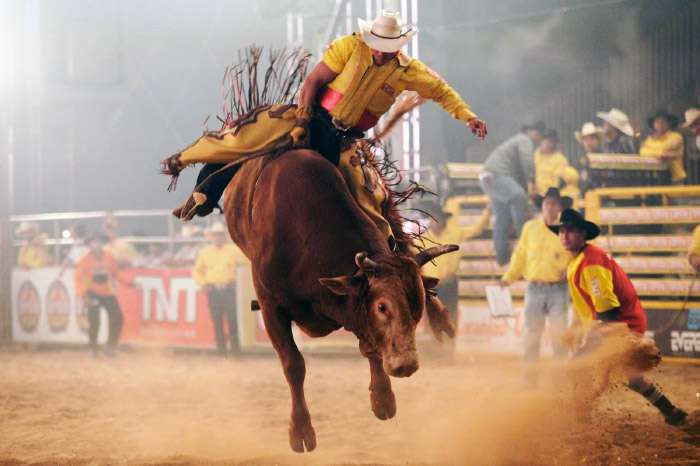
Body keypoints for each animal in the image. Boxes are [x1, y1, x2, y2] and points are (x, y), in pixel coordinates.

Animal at [221, 148, 456, 452]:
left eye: (416, 307)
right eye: (382, 307)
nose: (406, 364)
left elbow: (369, 347)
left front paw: (382, 399)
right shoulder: (270, 305)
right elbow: (293, 365)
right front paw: (301, 431)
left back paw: (441, 320)